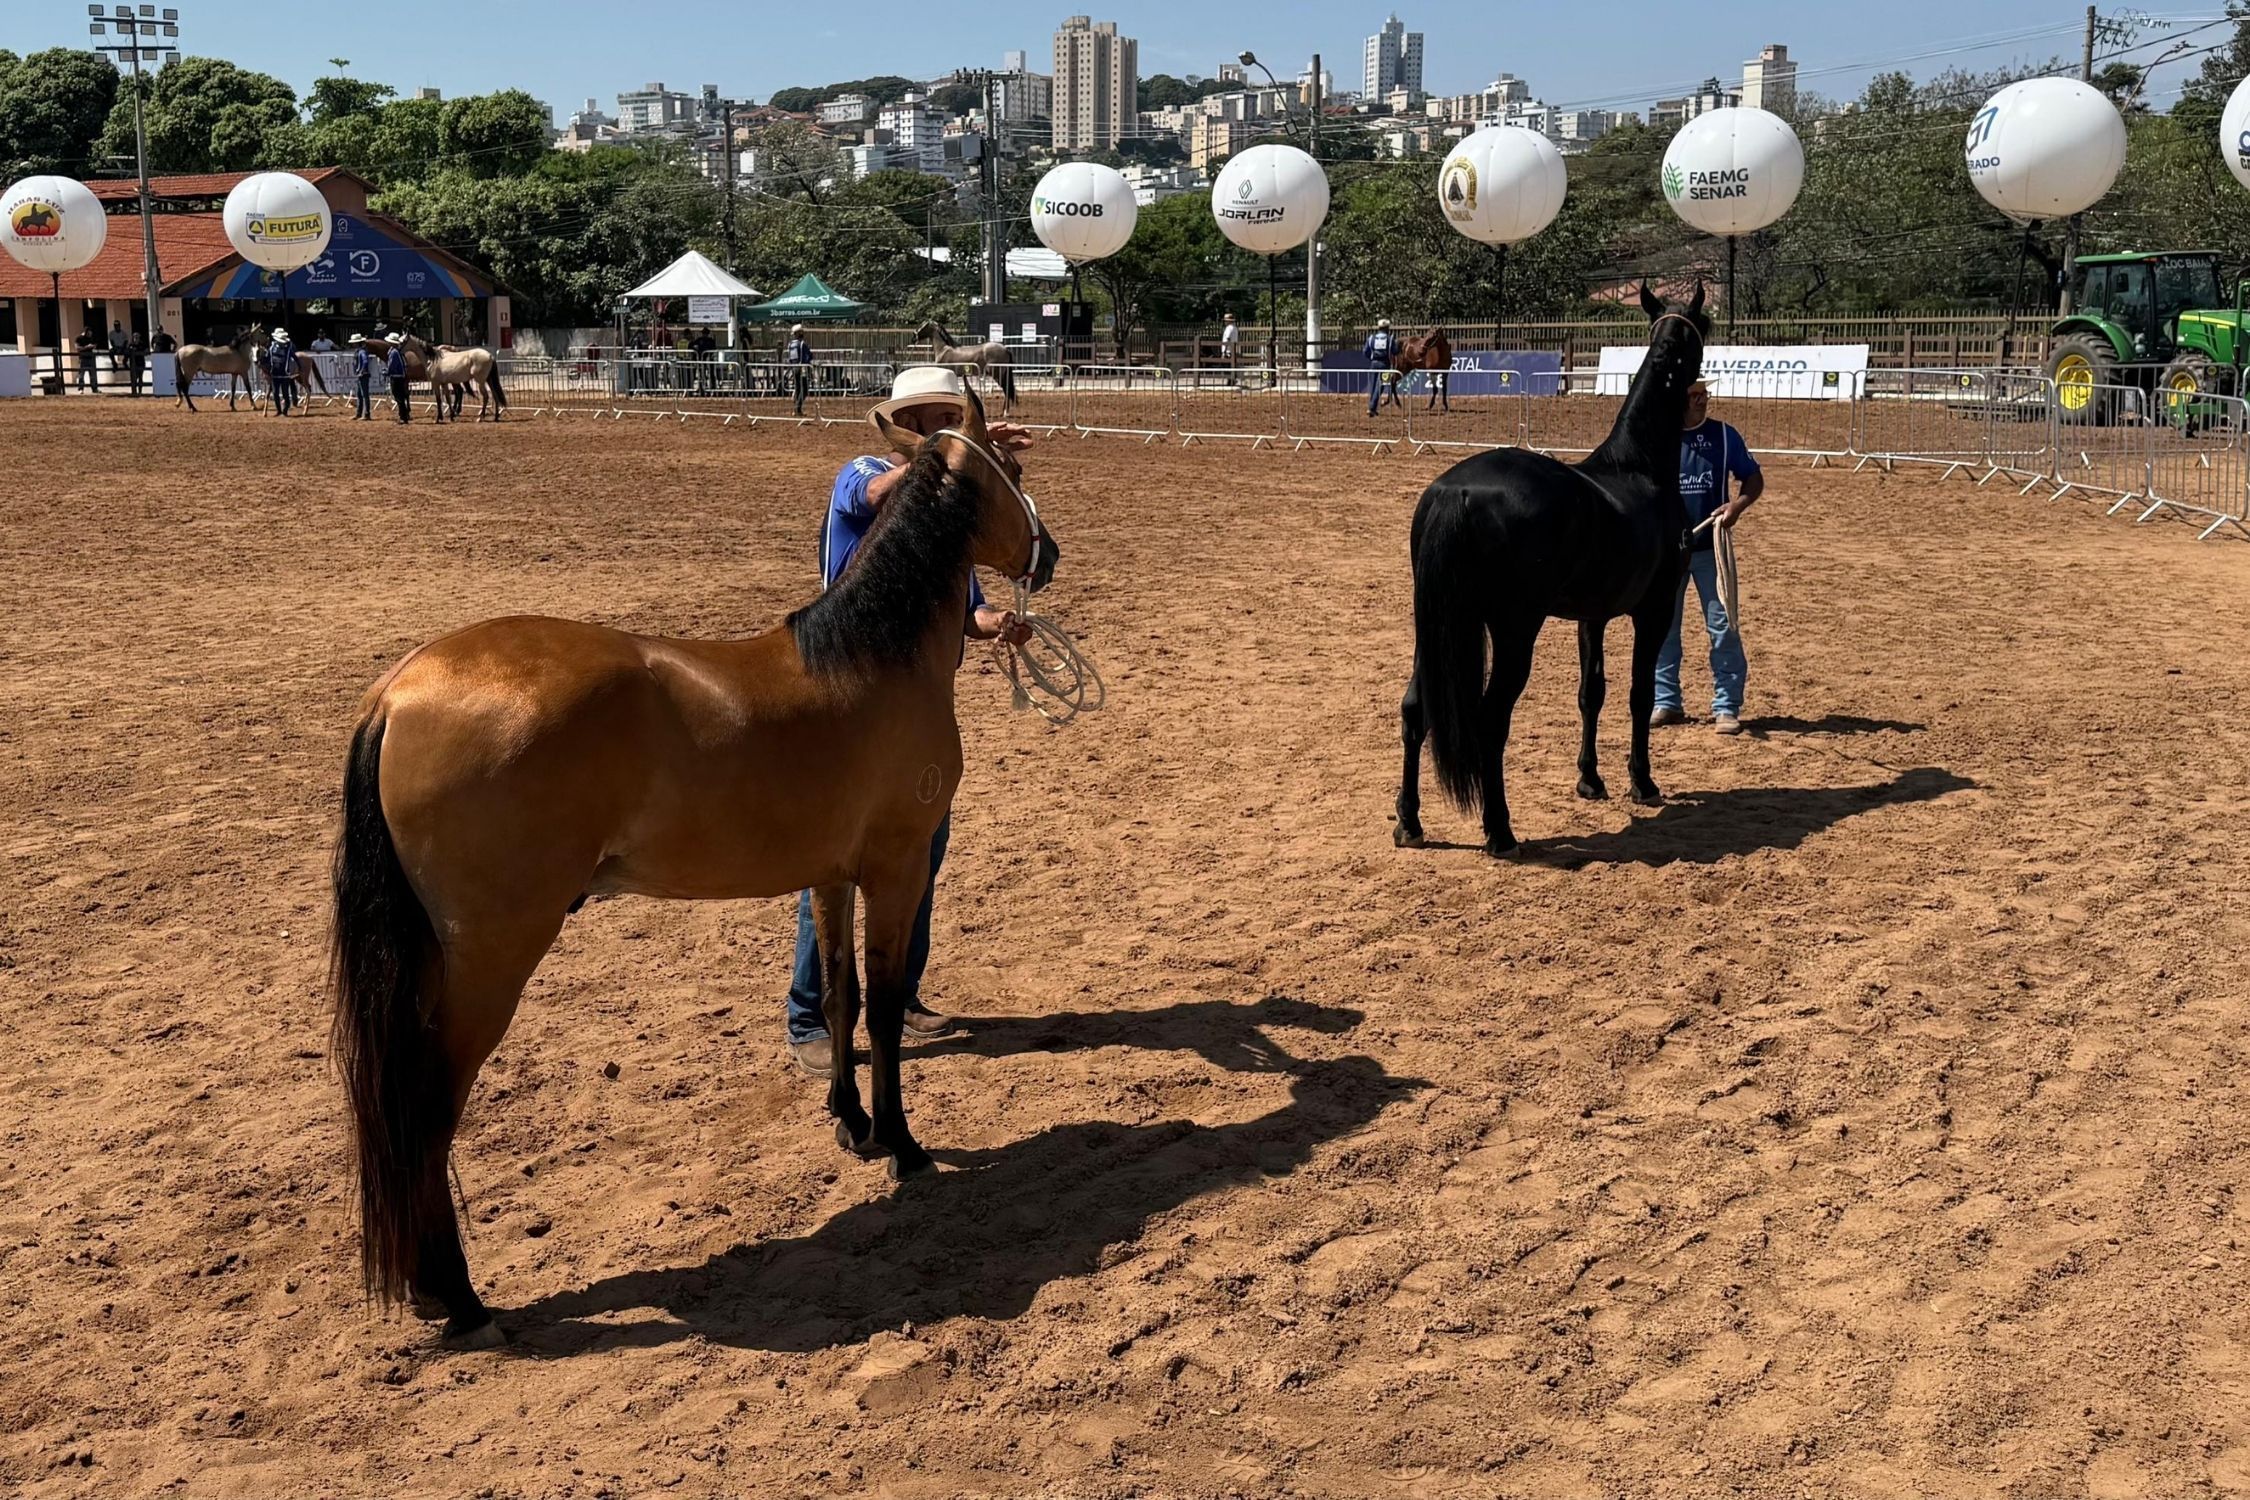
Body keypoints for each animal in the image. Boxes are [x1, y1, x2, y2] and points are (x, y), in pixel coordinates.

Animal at [329, 388, 1060, 1347]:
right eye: (1012, 469)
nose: (1048, 555)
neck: (870, 660)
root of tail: (401, 690)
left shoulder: (829, 874)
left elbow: (837, 994)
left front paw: (851, 1123)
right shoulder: (897, 870)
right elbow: (886, 1005)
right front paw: (903, 1147)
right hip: (489, 961)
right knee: (426, 1108)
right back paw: (459, 1298)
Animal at [1394, 283, 1708, 858]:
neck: (1638, 468)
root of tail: (1456, 492)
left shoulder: (1593, 616)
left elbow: (1592, 693)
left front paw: (1590, 779)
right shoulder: (1653, 611)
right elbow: (1638, 694)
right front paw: (1642, 782)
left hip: (1437, 628)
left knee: (1413, 708)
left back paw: (1410, 822)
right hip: (1515, 630)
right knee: (1491, 720)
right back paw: (1500, 832)